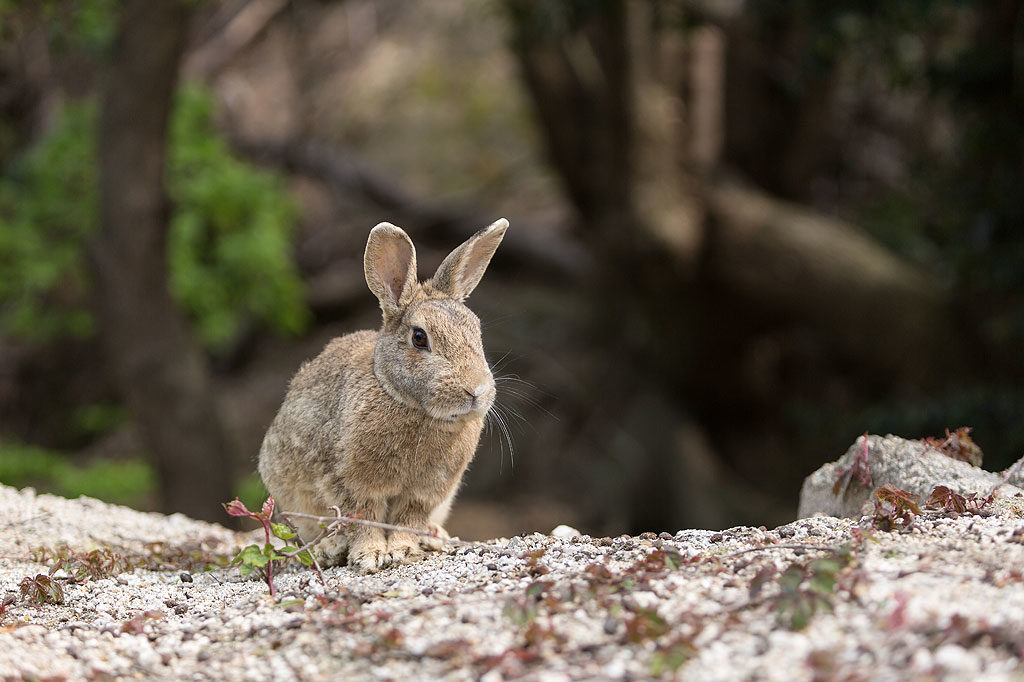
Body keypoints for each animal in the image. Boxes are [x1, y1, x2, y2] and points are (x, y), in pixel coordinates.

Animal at [258, 216, 505, 569]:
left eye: (477, 332)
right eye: (419, 338)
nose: (476, 391)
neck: (406, 403)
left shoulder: (426, 492)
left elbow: (408, 519)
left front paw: (403, 550)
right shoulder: (351, 484)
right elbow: (364, 518)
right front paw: (371, 555)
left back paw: (435, 537)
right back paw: (329, 548)